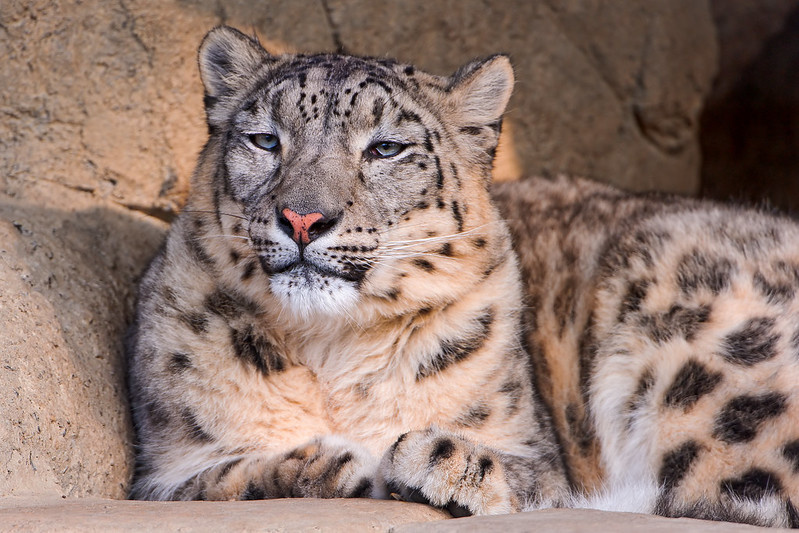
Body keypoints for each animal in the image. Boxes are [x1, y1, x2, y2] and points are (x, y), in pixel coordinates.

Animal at [126, 26, 799, 527]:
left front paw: (433, 459)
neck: (330, 352)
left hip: (708, 364)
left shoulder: (535, 448)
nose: (303, 218)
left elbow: (544, 479)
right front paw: (328, 464)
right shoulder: (166, 466)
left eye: (386, 148)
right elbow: (216, 479)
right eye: (265, 140)